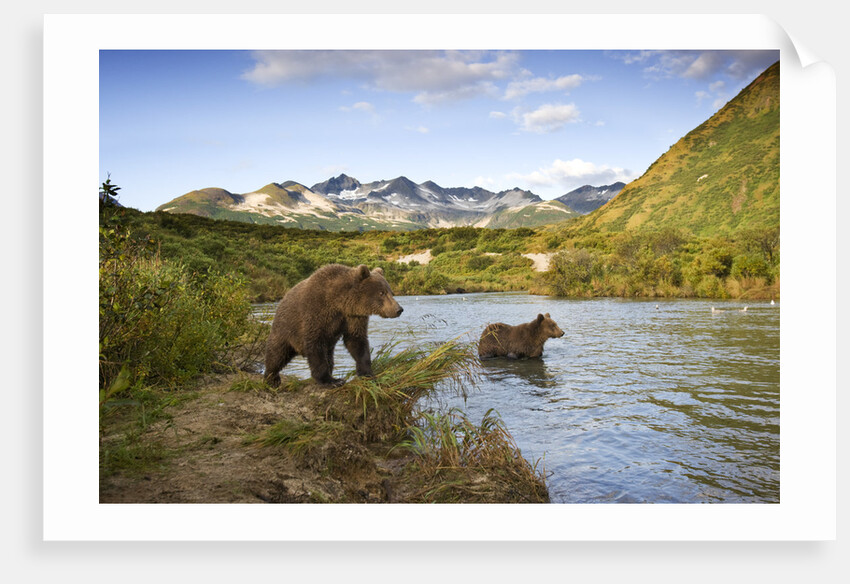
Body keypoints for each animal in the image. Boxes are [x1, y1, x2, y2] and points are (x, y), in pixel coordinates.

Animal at [264, 264, 404, 388]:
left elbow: (357, 341)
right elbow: (315, 344)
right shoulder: (316, 312)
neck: (339, 302)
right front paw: (332, 381)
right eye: (381, 293)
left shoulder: (352, 317)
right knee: (277, 353)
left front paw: (367, 373)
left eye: (391, 292)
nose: (399, 309)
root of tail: (282, 300)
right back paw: (271, 378)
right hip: (286, 329)